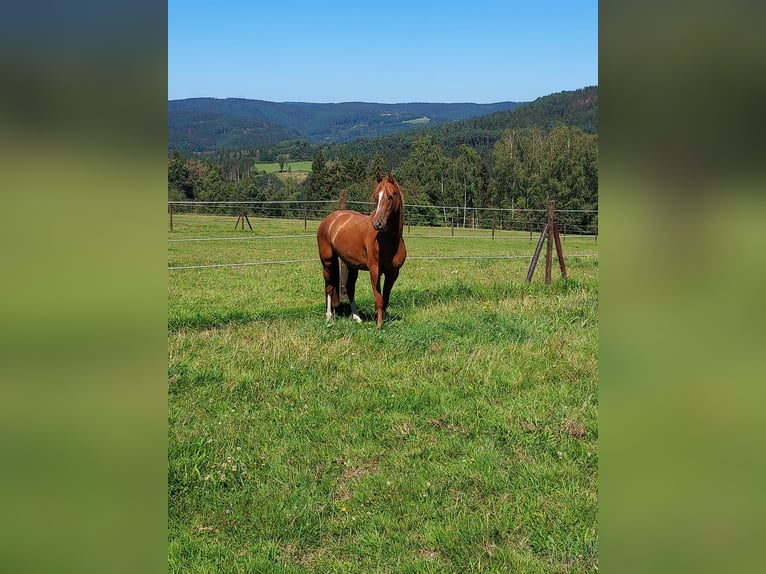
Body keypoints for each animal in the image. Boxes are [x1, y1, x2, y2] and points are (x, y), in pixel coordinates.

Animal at [318, 173, 408, 328]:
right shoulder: (375, 270)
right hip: (328, 262)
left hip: (351, 265)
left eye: (390, 196)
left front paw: (384, 320)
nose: (377, 224)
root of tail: (330, 219)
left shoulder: (393, 273)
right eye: (376, 198)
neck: (389, 240)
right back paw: (329, 317)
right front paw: (379, 325)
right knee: (329, 287)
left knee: (349, 288)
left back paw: (357, 317)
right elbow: (378, 299)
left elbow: (386, 298)